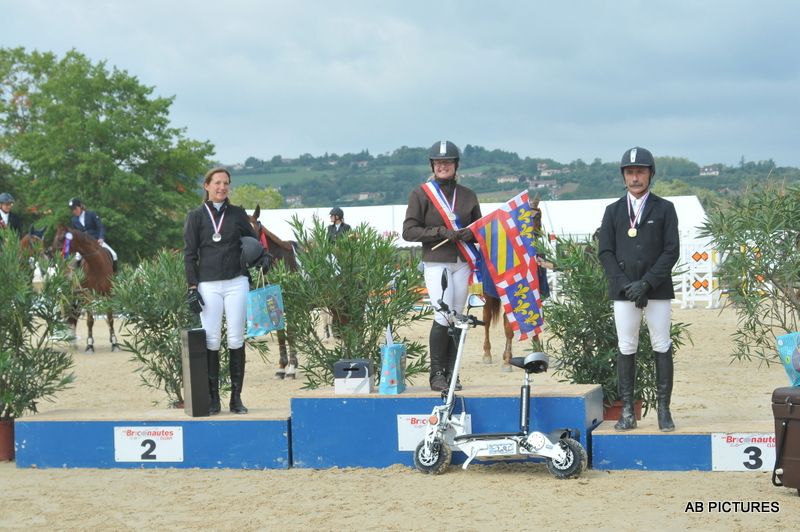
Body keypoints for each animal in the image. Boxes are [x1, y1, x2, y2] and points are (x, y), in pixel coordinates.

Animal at [52, 224, 119, 354]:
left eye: (62, 238)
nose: (51, 252)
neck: (96, 264)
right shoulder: (88, 295)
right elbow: (90, 321)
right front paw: (89, 345)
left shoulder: (108, 294)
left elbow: (110, 318)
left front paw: (114, 343)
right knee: (73, 315)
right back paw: (72, 342)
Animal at [247, 204, 300, 378]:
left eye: (256, 230)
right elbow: (281, 334)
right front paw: (282, 367)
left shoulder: (293, 307)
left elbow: (291, 332)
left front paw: (291, 367)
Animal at [482, 193, 544, 372]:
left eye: (537, 216)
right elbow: (509, 327)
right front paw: (507, 361)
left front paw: (538, 351)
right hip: (488, 297)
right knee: (487, 320)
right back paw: (487, 354)